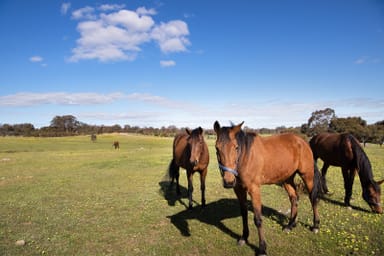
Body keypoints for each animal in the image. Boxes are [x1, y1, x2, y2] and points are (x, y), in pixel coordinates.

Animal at [213, 121, 320, 255]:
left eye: (236, 147)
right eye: (217, 148)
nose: (228, 181)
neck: (246, 156)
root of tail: (303, 141)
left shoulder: (254, 189)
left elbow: (258, 219)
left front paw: (262, 248)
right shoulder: (239, 190)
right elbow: (244, 214)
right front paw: (244, 238)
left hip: (307, 175)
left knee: (313, 198)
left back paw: (315, 226)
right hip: (287, 178)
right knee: (294, 198)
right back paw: (290, 225)